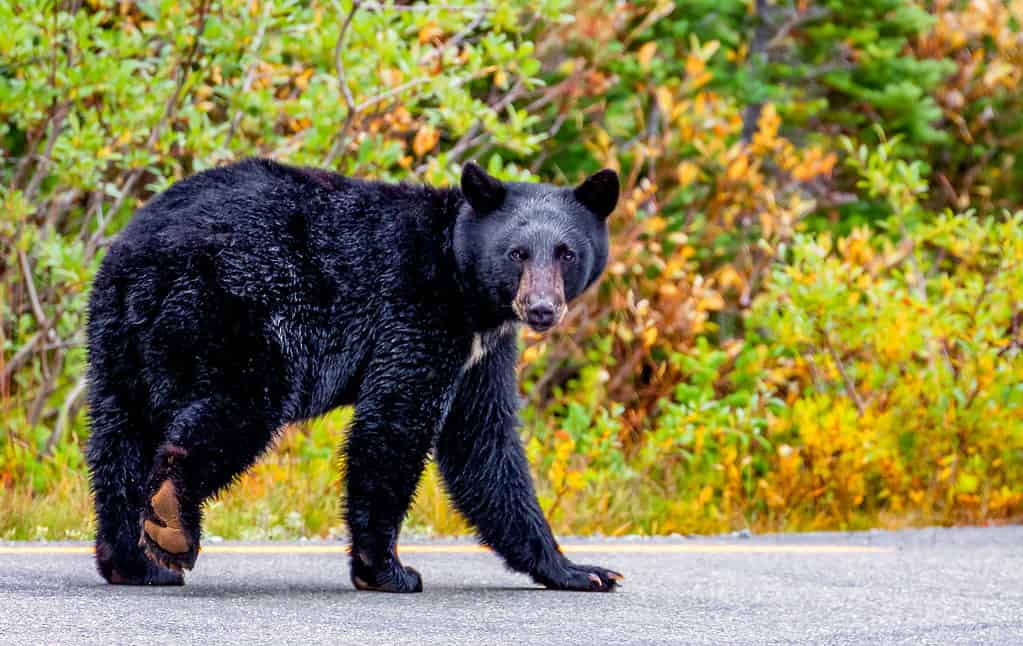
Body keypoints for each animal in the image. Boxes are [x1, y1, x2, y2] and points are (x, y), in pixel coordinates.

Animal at [85, 158, 622, 592]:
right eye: (517, 253)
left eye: (566, 253)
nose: (542, 308)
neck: (463, 284)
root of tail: (143, 253)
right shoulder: (416, 313)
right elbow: (395, 423)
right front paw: (386, 570)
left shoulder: (481, 353)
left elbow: (482, 444)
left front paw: (577, 570)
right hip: (237, 313)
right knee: (237, 409)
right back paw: (172, 521)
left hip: (117, 339)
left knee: (118, 441)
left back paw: (134, 563)